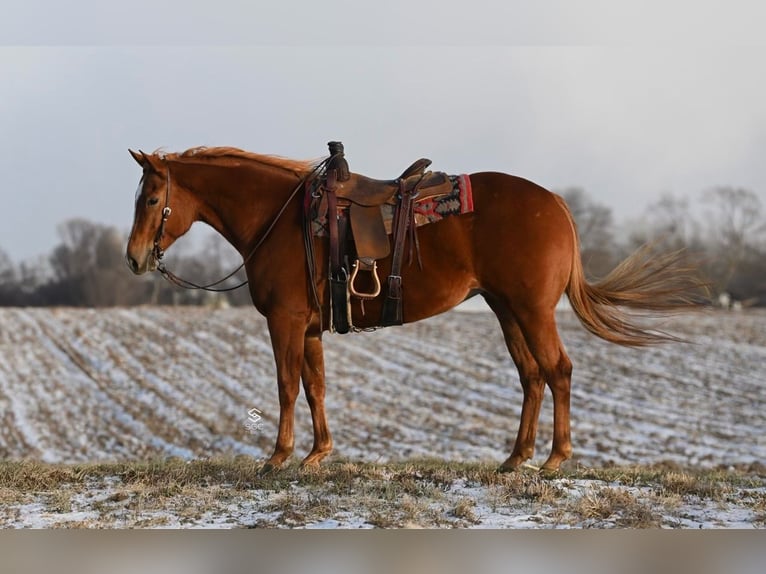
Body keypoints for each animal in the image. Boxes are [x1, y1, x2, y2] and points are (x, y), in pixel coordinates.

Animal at [127, 146, 708, 474]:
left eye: (152, 200)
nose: (134, 258)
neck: (282, 218)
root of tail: (557, 204)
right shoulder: (309, 328)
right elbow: (315, 387)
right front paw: (318, 453)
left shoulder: (285, 322)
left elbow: (286, 386)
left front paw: (277, 458)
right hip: (506, 309)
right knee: (532, 376)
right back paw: (515, 458)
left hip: (532, 309)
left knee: (557, 370)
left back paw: (554, 459)